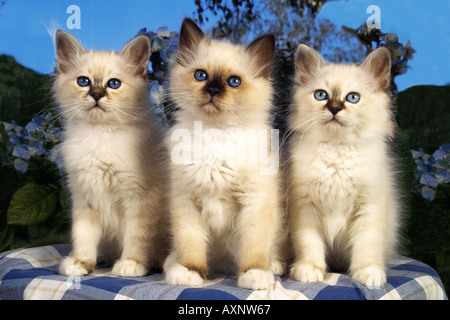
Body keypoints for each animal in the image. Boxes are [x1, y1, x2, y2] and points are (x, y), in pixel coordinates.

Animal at [163, 18, 286, 292]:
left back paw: (272, 267)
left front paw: (254, 275)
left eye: (234, 82)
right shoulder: (186, 201)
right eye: (201, 75)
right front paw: (190, 272)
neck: (215, 133)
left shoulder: (255, 201)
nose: (213, 90)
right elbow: (191, 245)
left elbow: (254, 247)